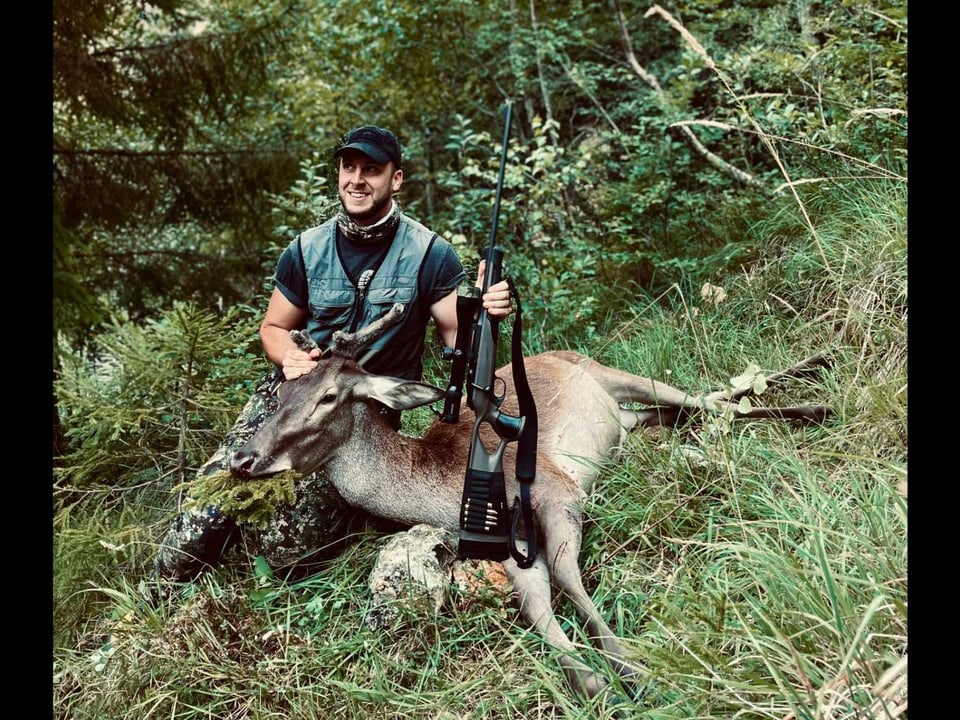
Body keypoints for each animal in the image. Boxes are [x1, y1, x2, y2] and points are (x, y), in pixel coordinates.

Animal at [229, 304, 828, 704]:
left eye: (328, 396)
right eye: (279, 397)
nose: (244, 458)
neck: (438, 491)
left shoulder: (555, 487)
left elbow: (566, 575)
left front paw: (635, 669)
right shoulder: (503, 545)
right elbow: (537, 607)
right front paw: (595, 682)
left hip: (614, 371)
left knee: (707, 398)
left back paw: (815, 386)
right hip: (627, 419)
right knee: (693, 409)